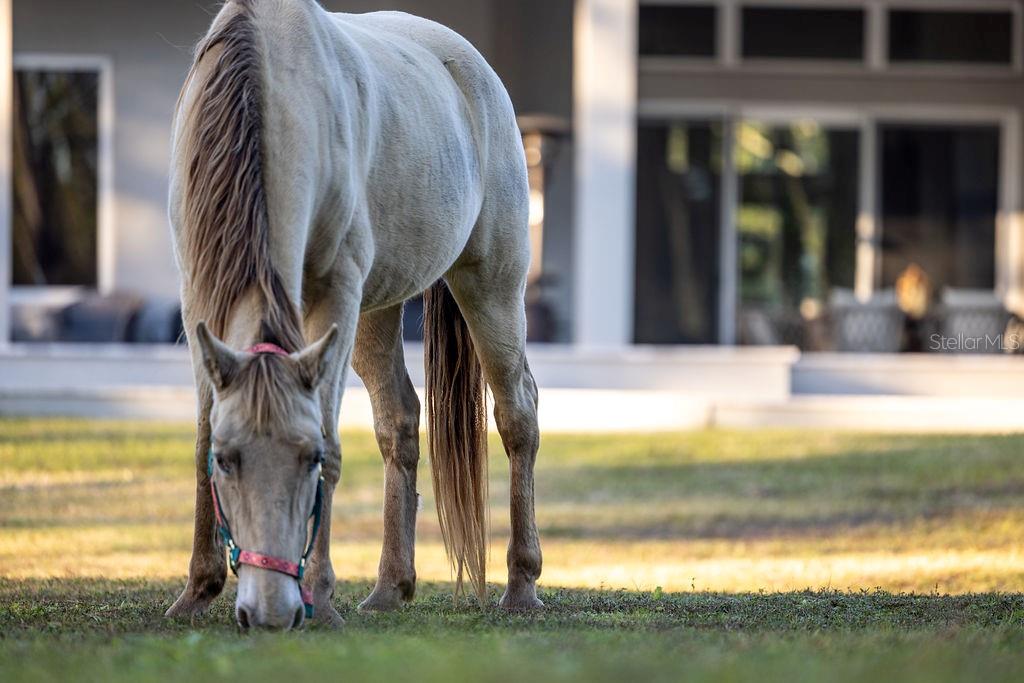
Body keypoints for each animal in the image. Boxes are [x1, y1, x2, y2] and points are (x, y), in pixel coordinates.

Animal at [163, 0, 544, 630]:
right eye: (229, 460)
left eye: (308, 459)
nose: (270, 612)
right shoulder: (199, 297)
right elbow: (198, 439)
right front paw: (197, 591)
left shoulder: (334, 291)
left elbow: (333, 438)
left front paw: (319, 596)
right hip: (375, 312)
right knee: (400, 422)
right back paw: (390, 586)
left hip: (491, 286)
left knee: (518, 416)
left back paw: (521, 585)